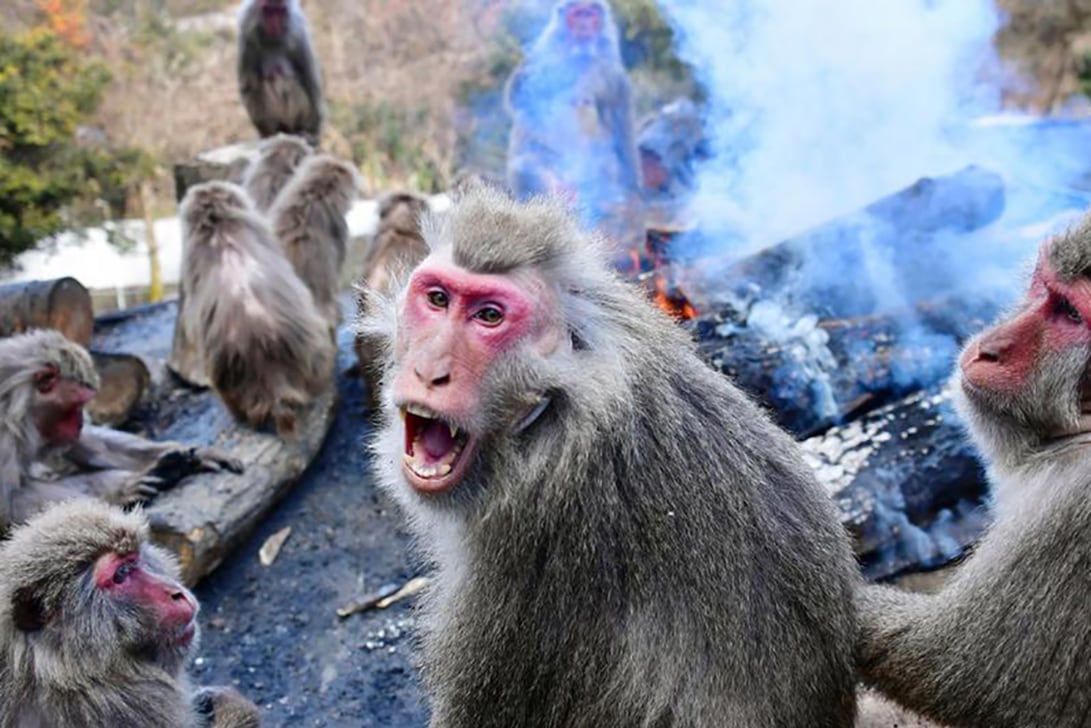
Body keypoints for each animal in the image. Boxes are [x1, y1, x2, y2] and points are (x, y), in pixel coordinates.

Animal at [0, 329, 242, 532]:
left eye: (82, 406)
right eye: (76, 405)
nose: (79, 423)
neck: (19, 403)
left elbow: (93, 445)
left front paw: (199, 454)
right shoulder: (5, 435)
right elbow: (9, 504)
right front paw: (119, 491)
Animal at [237, 0, 324, 144]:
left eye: (279, 12)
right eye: (268, 11)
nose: (274, 24)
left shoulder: (299, 35)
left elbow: (310, 80)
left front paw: (312, 133)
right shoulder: (247, 37)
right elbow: (249, 85)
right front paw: (264, 131)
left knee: (288, 81)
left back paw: (301, 130)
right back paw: (273, 131)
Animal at [504, 0, 644, 251]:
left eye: (590, 14)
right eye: (577, 13)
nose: (584, 25)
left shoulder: (611, 70)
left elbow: (619, 118)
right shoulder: (542, 53)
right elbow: (519, 96)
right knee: (527, 165)